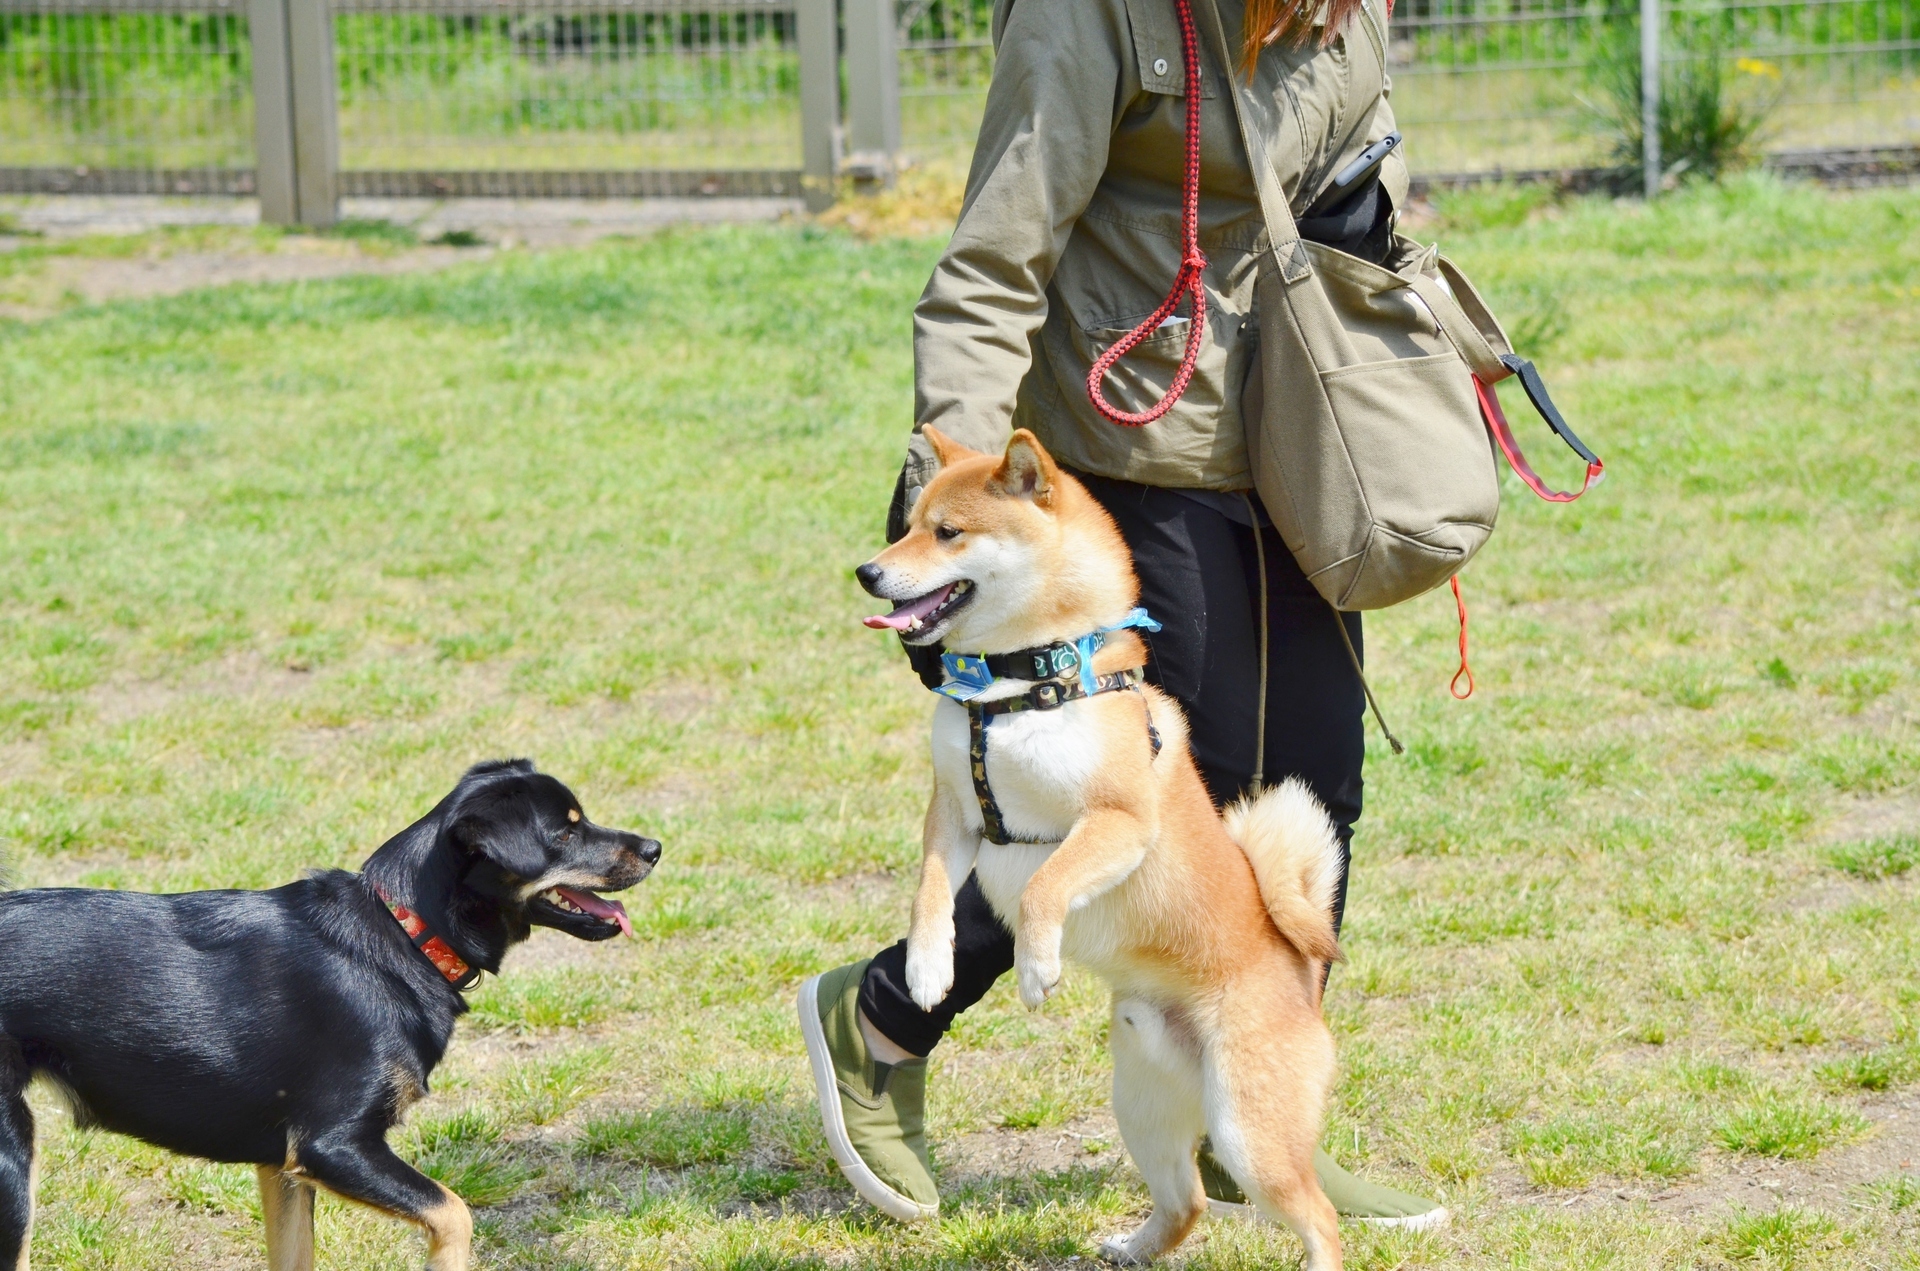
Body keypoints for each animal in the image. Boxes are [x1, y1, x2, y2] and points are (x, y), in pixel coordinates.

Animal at [0, 760, 660, 1267]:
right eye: (565, 834)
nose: (656, 848)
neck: (404, 933)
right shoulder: (333, 1146)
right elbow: (455, 1211)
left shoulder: (282, 1167)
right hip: (13, 1165)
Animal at [864, 430, 1344, 1271]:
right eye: (910, 523)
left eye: (948, 533)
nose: (867, 571)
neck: (1021, 685)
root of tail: (1301, 977)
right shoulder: (954, 812)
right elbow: (928, 893)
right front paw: (927, 969)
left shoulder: (1117, 820)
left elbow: (1042, 887)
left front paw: (1036, 966)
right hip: (1144, 1100)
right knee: (1186, 1201)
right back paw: (1132, 1248)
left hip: (1248, 1129)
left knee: (1319, 1218)